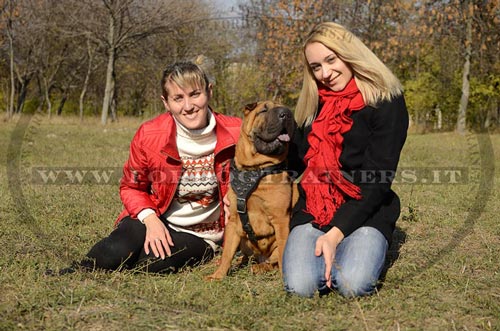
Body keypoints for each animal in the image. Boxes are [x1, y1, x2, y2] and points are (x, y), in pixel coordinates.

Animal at [206, 101, 294, 280]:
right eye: (264, 110)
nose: (287, 114)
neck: (255, 168)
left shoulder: (281, 219)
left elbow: (283, 251)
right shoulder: (233, 221)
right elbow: (227, 253)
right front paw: (218, 276)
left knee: (272, 262)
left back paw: (260, 268)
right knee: (245, 257)